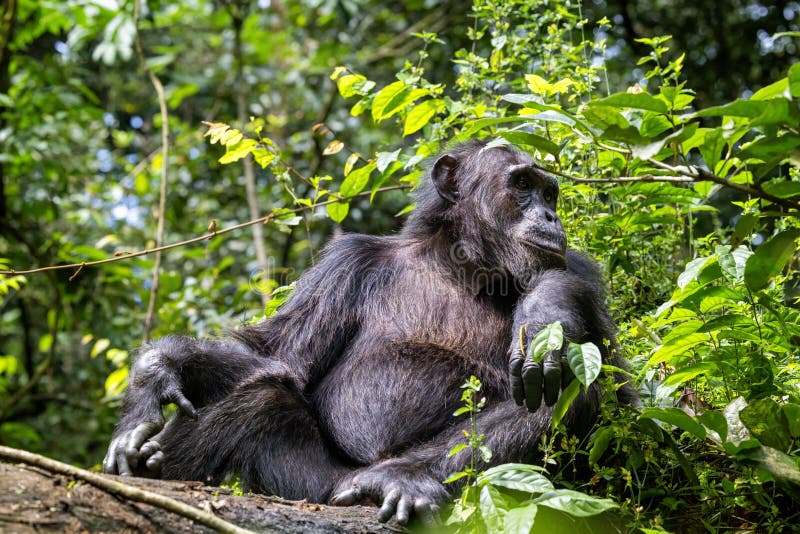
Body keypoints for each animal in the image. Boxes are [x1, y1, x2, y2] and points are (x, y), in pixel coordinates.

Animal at [103, 140, 636, 524]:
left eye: (549, 192)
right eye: (522, 184)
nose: (549, 215)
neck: (461, 265)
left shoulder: (583, 270)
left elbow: (622, 402)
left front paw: (546, 308)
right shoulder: (347, 265)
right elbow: (279, 355)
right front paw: (157, 371)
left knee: (566, 392)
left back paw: (401, 477)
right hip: (306, 484)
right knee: (262, 393)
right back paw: (151, 463)